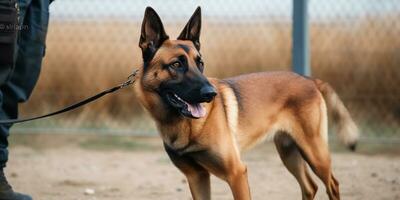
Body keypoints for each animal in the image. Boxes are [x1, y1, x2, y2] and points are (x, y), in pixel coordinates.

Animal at [134, 6, 360, 200]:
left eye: (200, 63)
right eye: (176, 64)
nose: (211, 94)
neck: (183, 123)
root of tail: (308, 79)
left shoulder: (237, 173)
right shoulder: (197, 178)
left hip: (315, 153)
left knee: (332, 185)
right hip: (289, 153)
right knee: (310, 187)